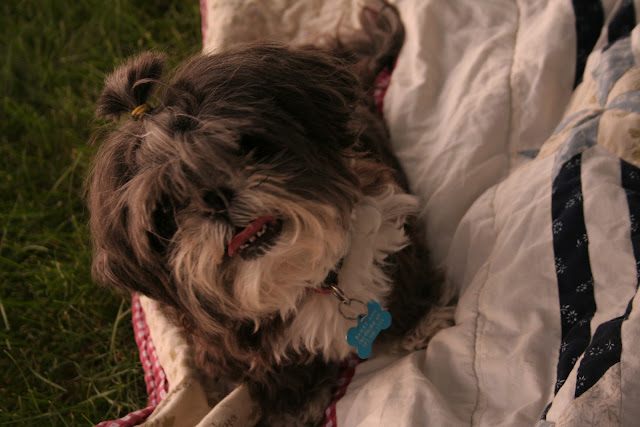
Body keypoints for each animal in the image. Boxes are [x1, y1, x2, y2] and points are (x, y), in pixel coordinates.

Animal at [88, 2, 449, 425]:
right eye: (165, 213)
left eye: (247, 146)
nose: (215, 196)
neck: (306, 276)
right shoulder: (236, 352)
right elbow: (282, 375)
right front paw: (297, 406)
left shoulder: (392, 230)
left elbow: (405, 281)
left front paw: (420, 321)